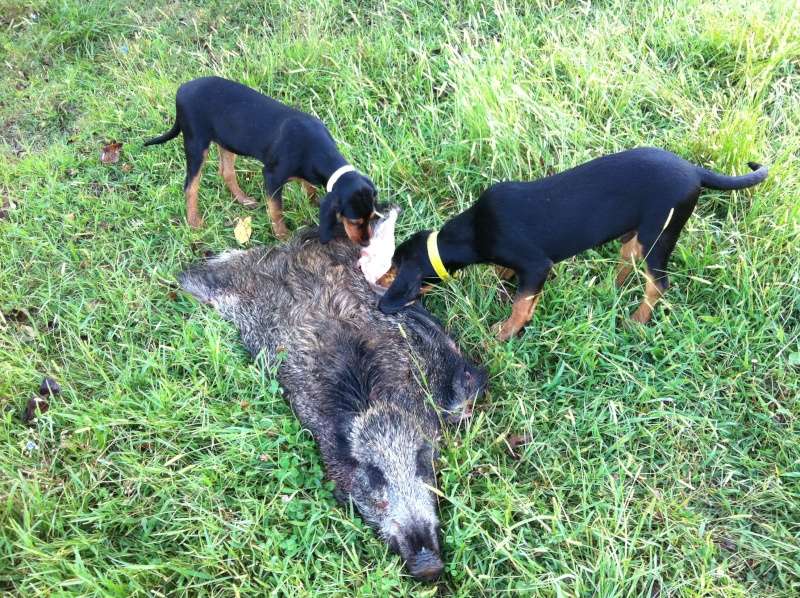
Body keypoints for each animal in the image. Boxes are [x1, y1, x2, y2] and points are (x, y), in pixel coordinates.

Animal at [145, 76, 378, 245]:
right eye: (355, 221)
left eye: (372, 215)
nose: (367, 243)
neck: (316, 148)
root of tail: (182, 89)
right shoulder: (272, 177)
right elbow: (276, 210)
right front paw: (283, 236)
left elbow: (309, 187)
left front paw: (314, 203)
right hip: (196, 143)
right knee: (190, 186)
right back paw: (194, 222)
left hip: (227, 141)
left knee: (226, 172)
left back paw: (243, 199)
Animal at [382, 147, 768, 340]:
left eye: (395, 266)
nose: (376, 283)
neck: (476, 229)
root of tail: (694, 171)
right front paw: (503, 282)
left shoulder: (537, 266)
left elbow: (521, 305)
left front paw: (504, 332)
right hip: (639, 232)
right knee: (628, 257)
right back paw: (612, 289)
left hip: (659, 235)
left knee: (658, 284)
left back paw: (636, 321)